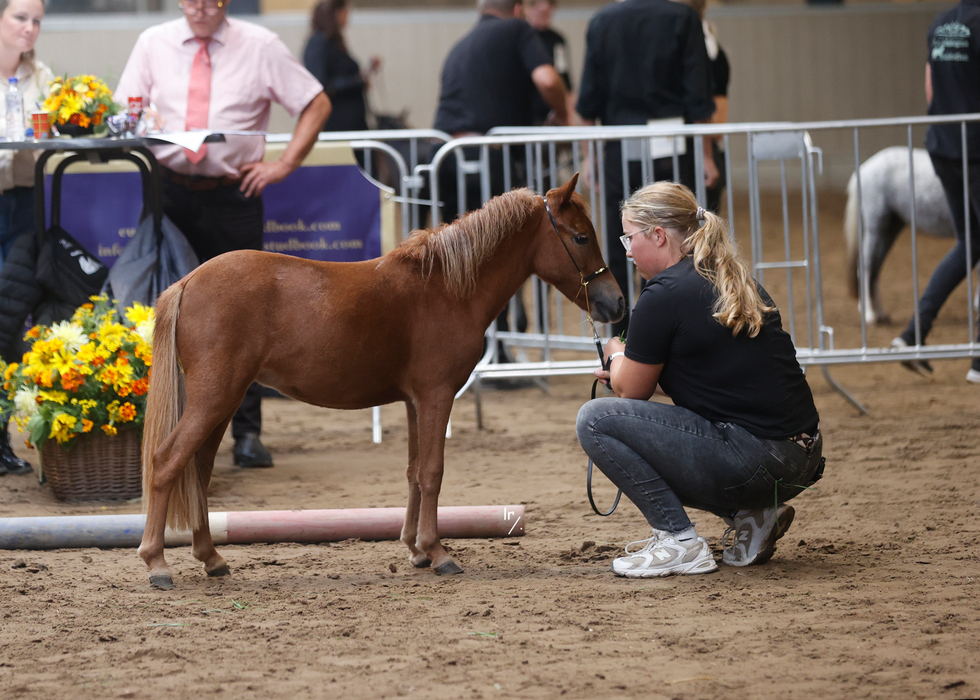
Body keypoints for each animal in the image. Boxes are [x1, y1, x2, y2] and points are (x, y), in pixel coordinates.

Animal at [139, 174, 625, 590]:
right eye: (581, 237)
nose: (616, 302)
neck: (445, 287)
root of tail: (188, 281)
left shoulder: (413, 402)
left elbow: (413, 472)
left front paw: (415, 550)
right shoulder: (436, 396)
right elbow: (432, 472)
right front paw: (438, 552)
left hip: (223, 400)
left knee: (198, 471)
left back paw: (212, 559)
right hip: (215, 397)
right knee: (167, 462)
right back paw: (156, 563)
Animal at [844, 146, 954, 325]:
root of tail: (863, 169)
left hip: (890, 231)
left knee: (875, 270)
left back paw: (881, 314)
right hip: (876, 227)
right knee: (865, 268)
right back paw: (869, 315)